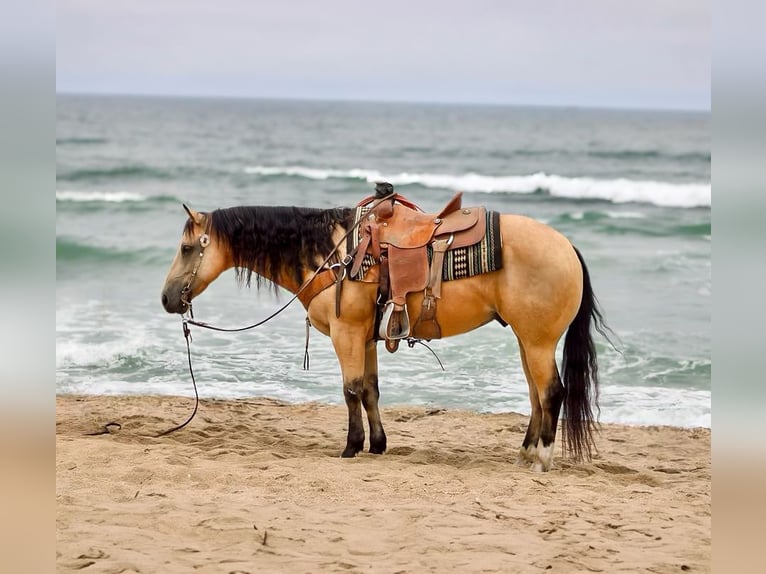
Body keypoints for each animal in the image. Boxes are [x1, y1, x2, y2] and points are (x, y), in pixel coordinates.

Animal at [161, 193, 608, 472]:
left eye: (186, 249)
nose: (166, 298)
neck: (334, 254)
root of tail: (567, 247)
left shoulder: (345, 335)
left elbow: (351, 390)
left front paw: (351, 446)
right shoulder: (366, 338)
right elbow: (371, 390)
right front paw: (377, 444)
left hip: (537, 342)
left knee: (551, 393)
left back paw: (542, 460)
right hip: (526, 341)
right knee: (536, 395)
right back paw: (525, 453)